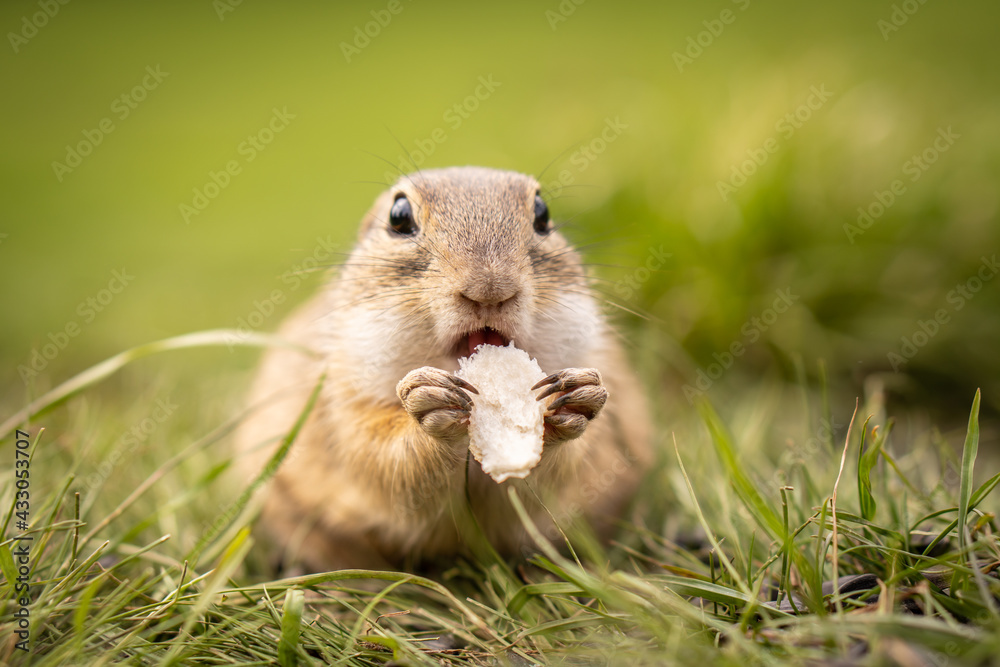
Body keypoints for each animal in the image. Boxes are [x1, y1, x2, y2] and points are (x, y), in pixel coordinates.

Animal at [235, 166, 652, 572]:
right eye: (398, 216)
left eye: (542, 213)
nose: (490, 288)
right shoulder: (344, 409)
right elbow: (388, 464)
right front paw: (430, 403)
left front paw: (575, 398)